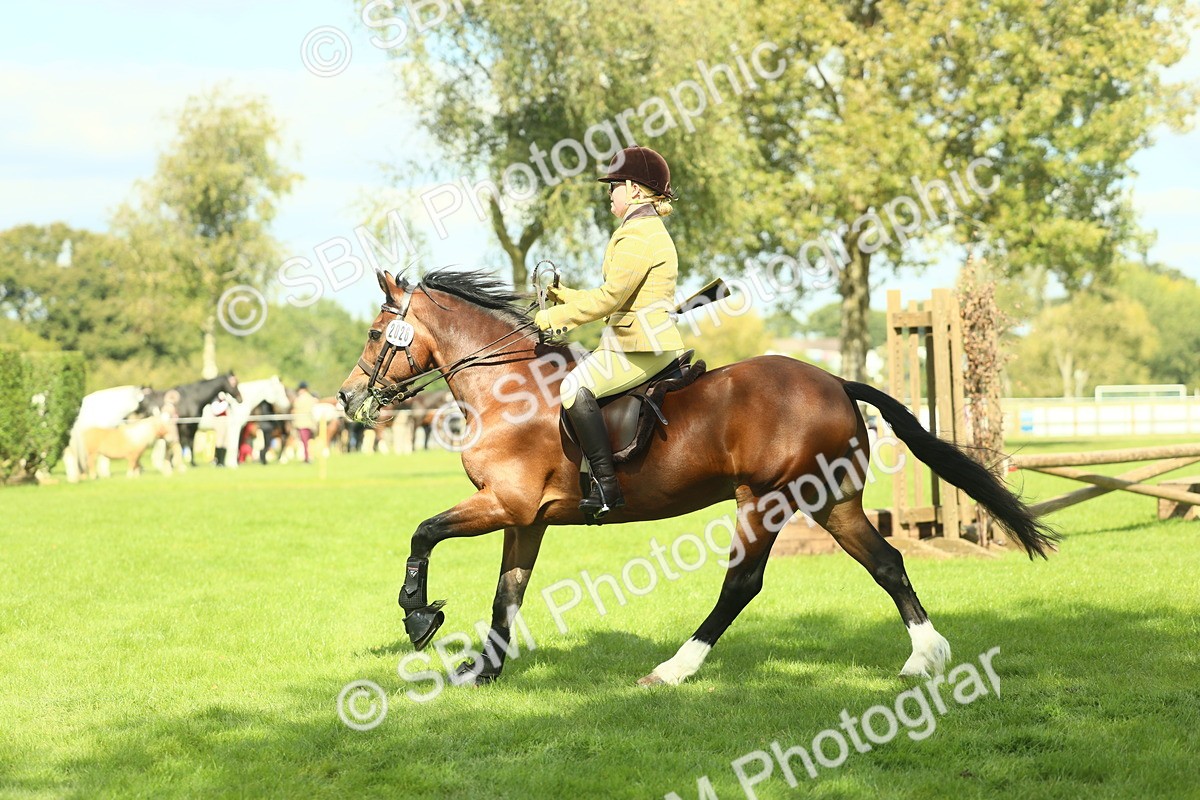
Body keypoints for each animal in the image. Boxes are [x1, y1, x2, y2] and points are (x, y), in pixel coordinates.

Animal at [337, 269, 1058, 687]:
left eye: (375, 333)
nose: (347, 399)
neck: (511, 389)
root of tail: (833, 381)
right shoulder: (525, 517)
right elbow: (506, 595)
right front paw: (481, 671)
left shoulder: (502, 503)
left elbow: (423, 533)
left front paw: (418, 615)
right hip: (830, 502)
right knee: (887, 562)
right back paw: (925, 655)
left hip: (765, 501)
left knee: (742, 584)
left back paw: (674, 668)